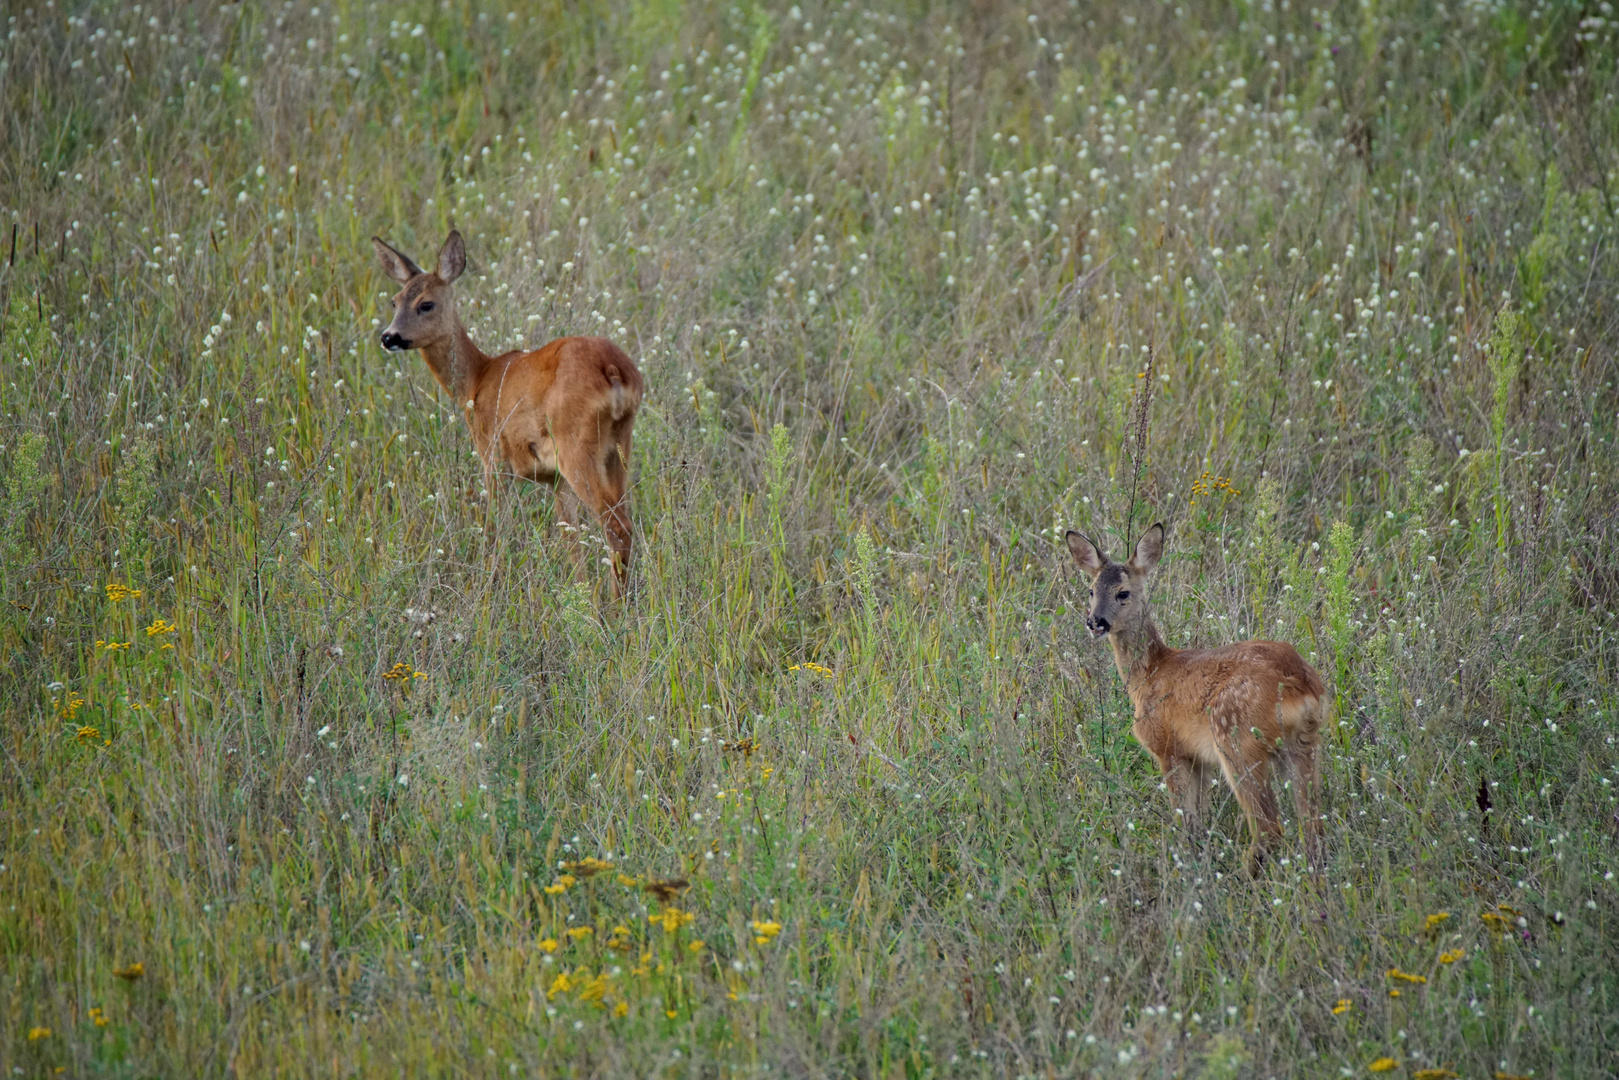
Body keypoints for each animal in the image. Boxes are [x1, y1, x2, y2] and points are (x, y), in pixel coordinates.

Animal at [370, 231, 637, 595]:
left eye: (426, 304)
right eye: (395, 301)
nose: (389, 337)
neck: (477, 380)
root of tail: (614, 372)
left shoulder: (494, 458)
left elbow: (496, 530)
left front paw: (488, 586)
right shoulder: (555, 480)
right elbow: (570, 537)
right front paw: (578, 593)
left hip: (576, 447)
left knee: (616, 527)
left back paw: (613, 607)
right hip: (618, 447)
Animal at [1062, 524, 1327, 880]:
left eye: (1123, 593)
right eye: (1091, 591)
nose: (1095, 622)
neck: (1150, 672)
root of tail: (1301, 683)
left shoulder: (1167, 748)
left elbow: (1184, 823)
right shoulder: (1198, 758)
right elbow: (1198, 824)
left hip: (1238, 741)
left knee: (1270, 828)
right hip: (1303, 744)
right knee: (1312, 824)